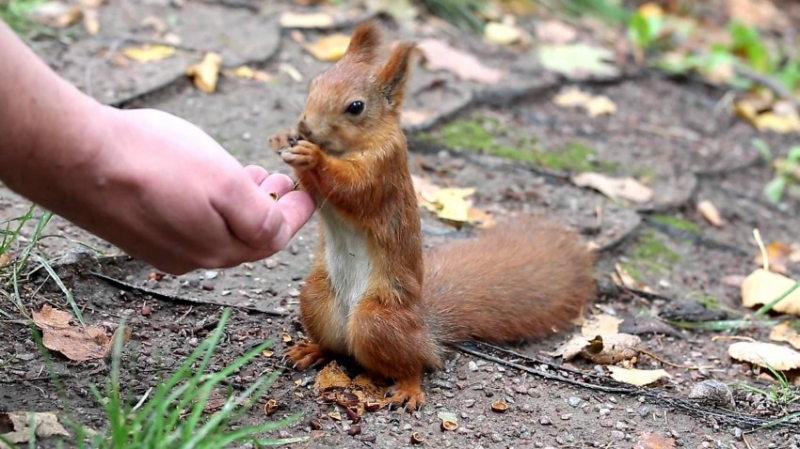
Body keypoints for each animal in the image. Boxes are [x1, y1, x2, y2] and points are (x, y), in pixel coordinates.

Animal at [268, 22, 592, 412]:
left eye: (355, 107)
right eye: (315, 83)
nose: (305, 126)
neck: (349, 147)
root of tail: (425, 329)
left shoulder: (384, 169)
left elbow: (354, 189)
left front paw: (312, 156)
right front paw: (284, 138)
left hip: (377, 320)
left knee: (414, 363)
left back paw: (408, 388)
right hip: (316, 298)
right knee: (337, 348)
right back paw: (311, 350)